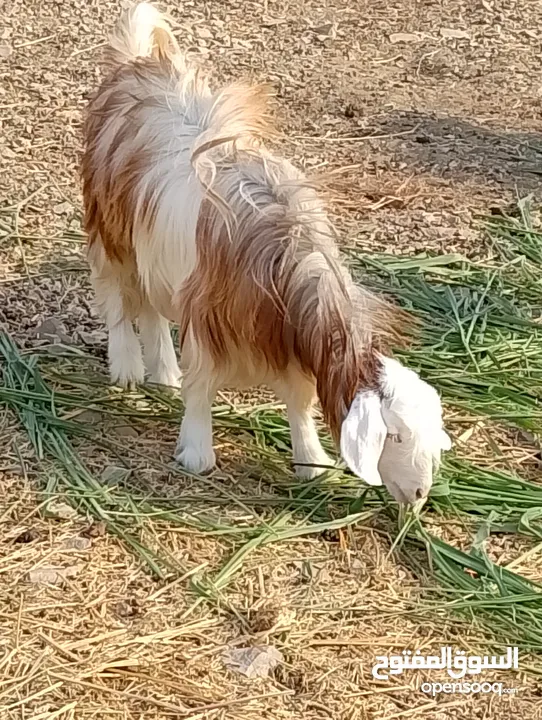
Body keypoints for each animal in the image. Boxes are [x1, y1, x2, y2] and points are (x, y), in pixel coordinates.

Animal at [82, 2, 454, 504]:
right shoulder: (207, 316)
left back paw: (163, 374)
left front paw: (311, 462)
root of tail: (137, 64)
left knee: (153, 308)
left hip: (155, 254)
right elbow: (202, 385)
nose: (419, 495)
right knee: (117, 297)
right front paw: (197, 454)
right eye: (392, 435)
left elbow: (298, 400)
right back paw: (126, 368)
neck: (284, 261)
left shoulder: (288, 340)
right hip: (111, 230)